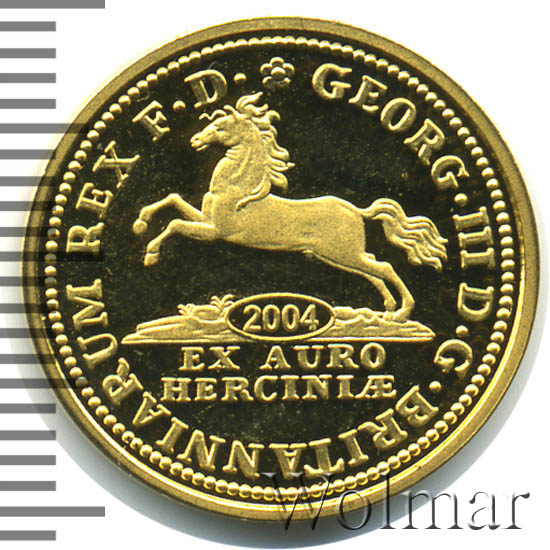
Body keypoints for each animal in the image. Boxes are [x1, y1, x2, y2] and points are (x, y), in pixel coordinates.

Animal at [133, 92, 447, 322]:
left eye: (220, 127)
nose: (195, 139)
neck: (236, 188)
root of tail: (357, 210)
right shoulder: (205, 218)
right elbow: (173, 199)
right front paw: (140, 221)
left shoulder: (216, 231)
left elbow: (174, 223)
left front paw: (151, 253)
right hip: (338, 254)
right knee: (373, 268)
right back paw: (384, 310)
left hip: (342, 252)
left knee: (384, 267)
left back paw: (401, 313)